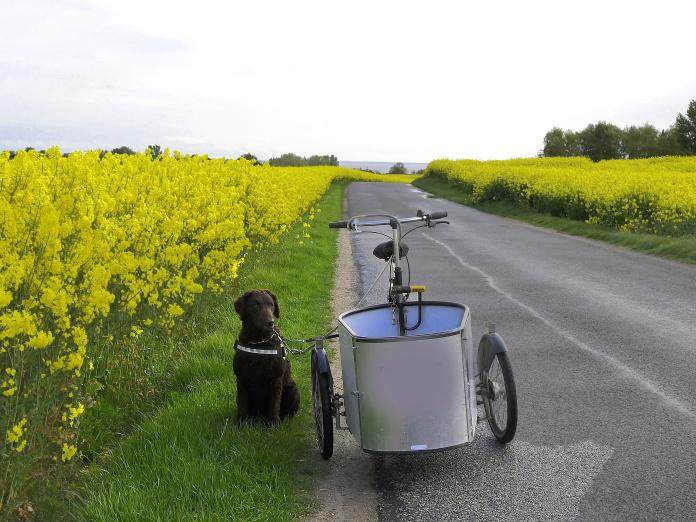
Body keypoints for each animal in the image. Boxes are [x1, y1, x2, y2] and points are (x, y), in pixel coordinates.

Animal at [234, 288, 300, 422]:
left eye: (271, 305)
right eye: (256, 305)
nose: (270, 322)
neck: (259, 342)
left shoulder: (276, 379)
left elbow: (274, 404)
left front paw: (274, 423)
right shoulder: (241, 377)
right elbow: (242, 404)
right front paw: (241, 422)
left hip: (293, 389)